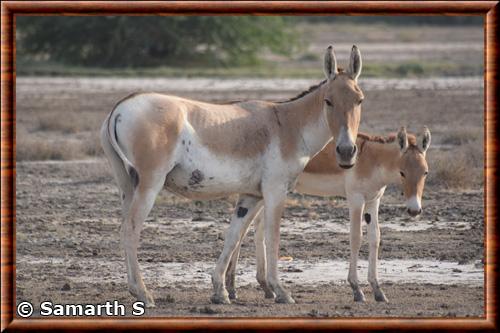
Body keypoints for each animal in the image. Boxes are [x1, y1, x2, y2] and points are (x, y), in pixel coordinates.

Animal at [100, 44, 364, 306]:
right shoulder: (276, 190)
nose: (346, 152)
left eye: (359, 100)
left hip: (127, 186)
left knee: (124, 227)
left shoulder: (251, 196)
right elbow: (272, 237)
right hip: (150, 184)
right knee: (131, 228)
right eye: (328, 101)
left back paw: (135, 290)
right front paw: (281, 291)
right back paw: (143, 294)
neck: (289, 126)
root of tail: (119, 108)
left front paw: (220, 291)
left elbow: (233, 236)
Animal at [225, 126, 432, 300]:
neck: (370, 159)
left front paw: (378, 290)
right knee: (243, 230)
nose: (414, 210)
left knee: (251, 229)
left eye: (425, 173)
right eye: (402, 172)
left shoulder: (373, 200)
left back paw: (258, 288)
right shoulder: (356, 199)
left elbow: (375, 238)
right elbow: (356, 238)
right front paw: (356, 289)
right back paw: (233, 287)